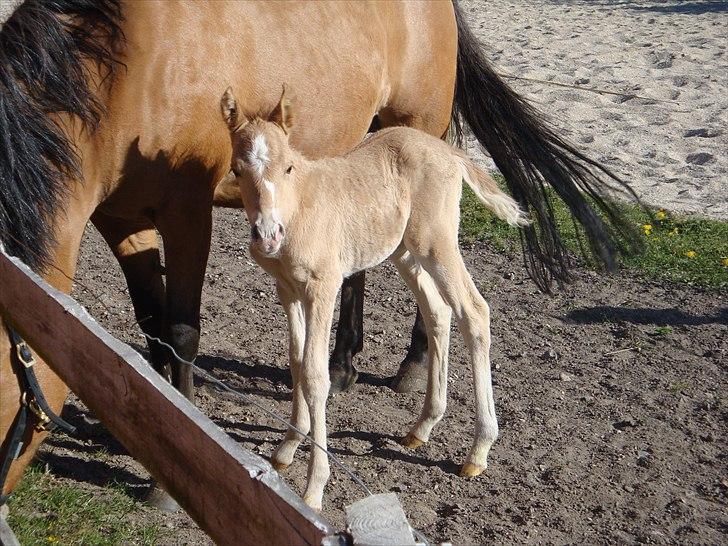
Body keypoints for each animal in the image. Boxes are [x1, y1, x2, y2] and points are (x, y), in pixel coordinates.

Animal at [219, 87, 528, 508]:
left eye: (288, 168)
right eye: (237, 170)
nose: (268, 235)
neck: (298, 208)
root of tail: (449, 152)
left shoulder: (323, 287)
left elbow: (315, 375)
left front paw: (314, 488)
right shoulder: (288, 291)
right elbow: (297, 364)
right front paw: (286, 448)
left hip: (436, 243)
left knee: (473, 311)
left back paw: (478, 451)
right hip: (404, 251)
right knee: (438, 312)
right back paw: (422, 427)